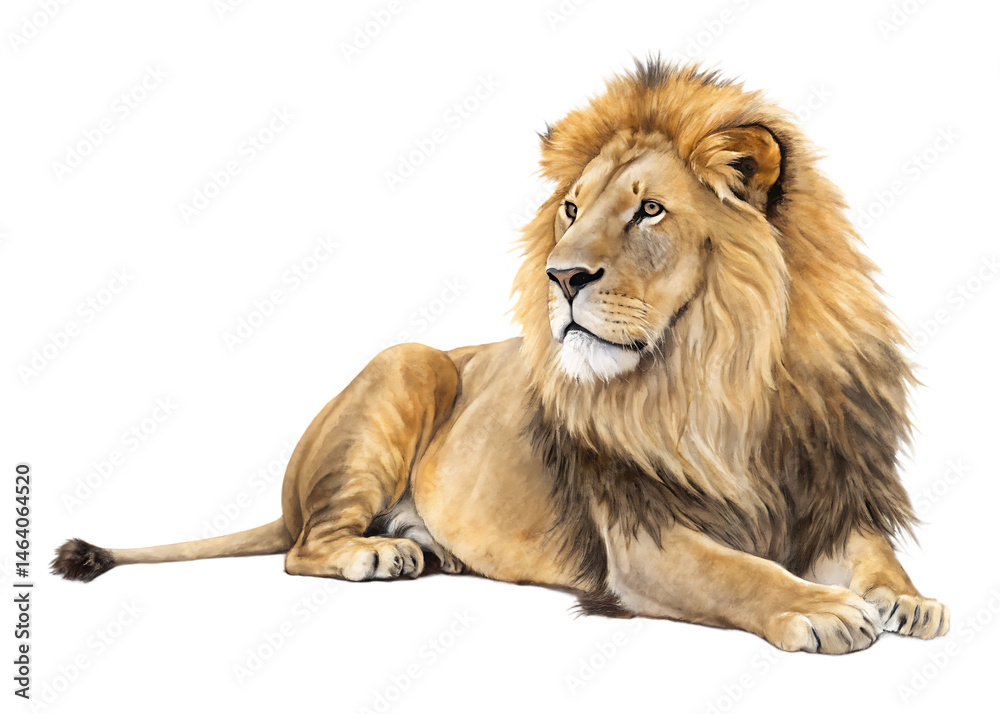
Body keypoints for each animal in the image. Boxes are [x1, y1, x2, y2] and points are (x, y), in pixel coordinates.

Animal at [53, 60, 949, 654]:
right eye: (572, 211)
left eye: (649, 211)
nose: (563, 277)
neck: (720, 380)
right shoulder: (646, 540)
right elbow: (743, 575)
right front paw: (827, 611)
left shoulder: (828, 492)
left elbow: (875, 553)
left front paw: (910, 601)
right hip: (408, 362)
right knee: (304, 549)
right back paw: (382, 551)